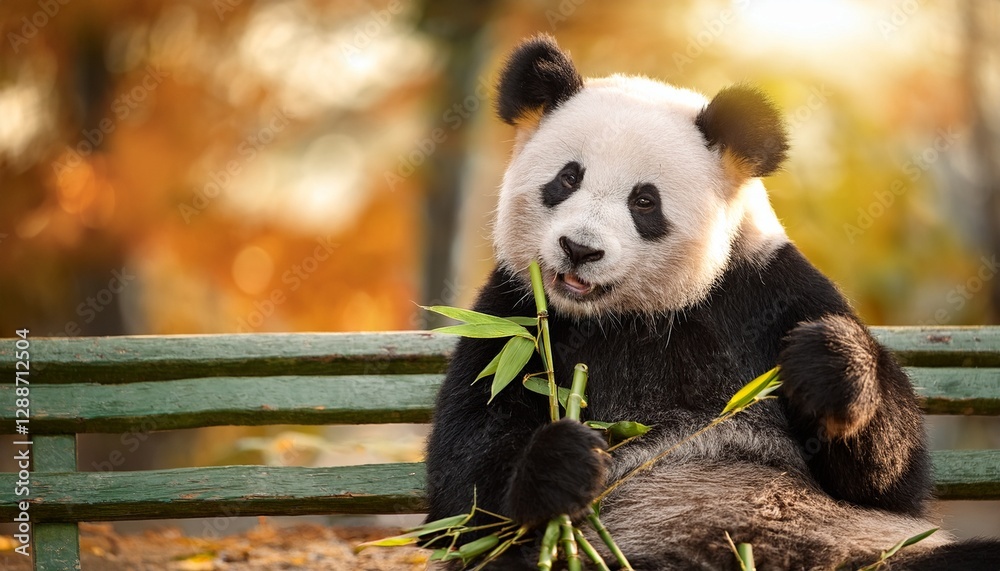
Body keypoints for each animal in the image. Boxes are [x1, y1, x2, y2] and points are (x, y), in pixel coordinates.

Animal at [424, 35, 1000, 570]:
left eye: (644, 201)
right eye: (568, 178)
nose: (580, 249)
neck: (631, 317)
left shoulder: (763, 293)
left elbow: (893, 487)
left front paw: (830, 362)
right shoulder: (514, 313)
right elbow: (465, 491)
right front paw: (563, 460)